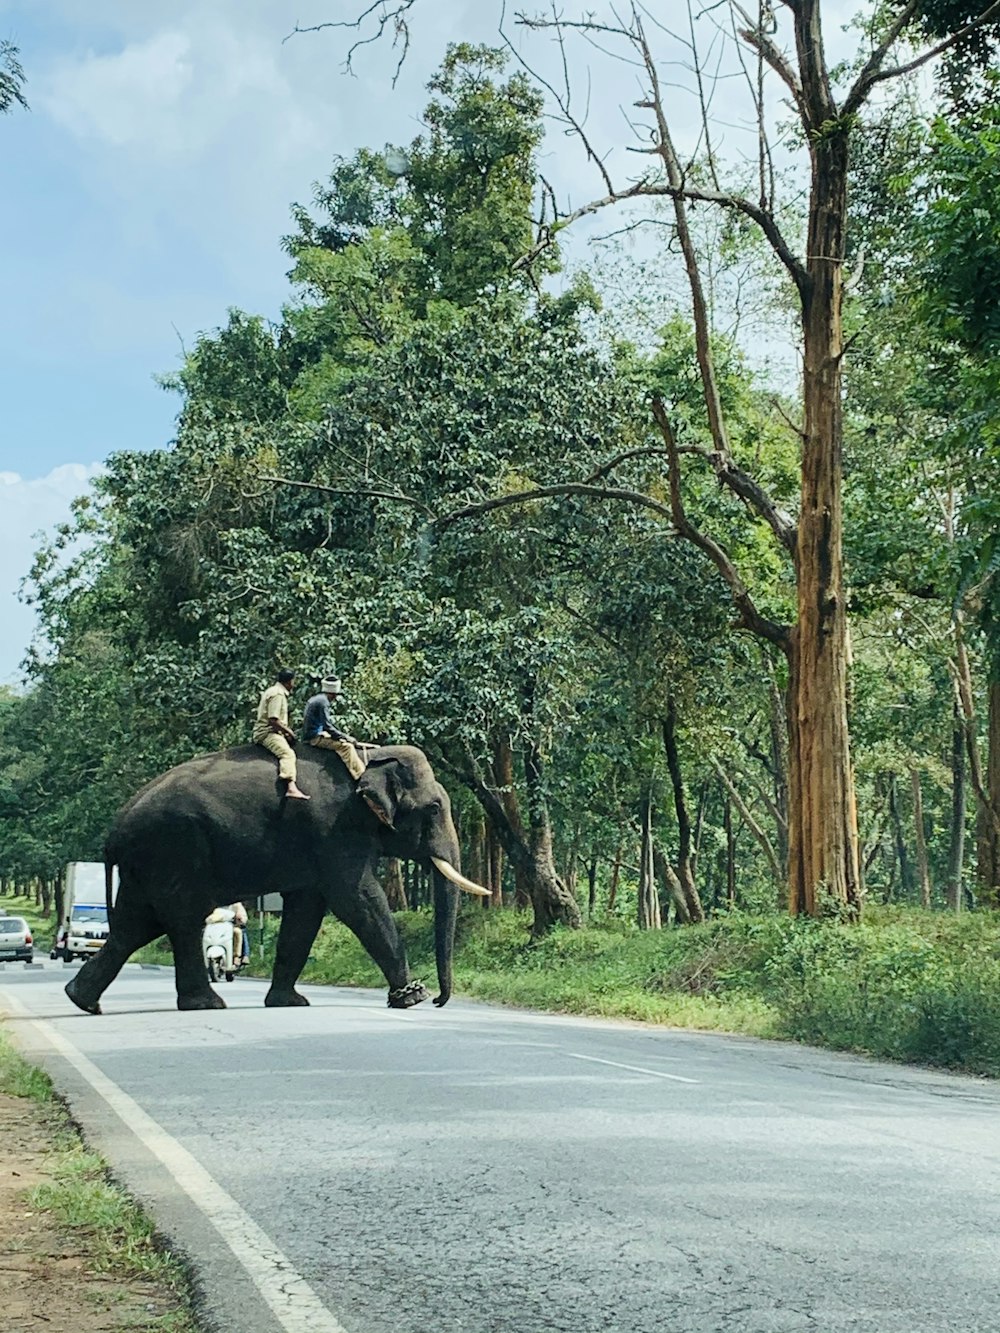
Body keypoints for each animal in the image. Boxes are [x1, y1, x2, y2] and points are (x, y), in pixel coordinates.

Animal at [63, 746, 490, 1013]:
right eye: (433, 808)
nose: (439, 1001)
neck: (366, 756)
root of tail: (115, 829)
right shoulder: (334, 832)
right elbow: (357, 899)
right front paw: (411, 998)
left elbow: (306, 911)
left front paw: (288, 1002)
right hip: (172, 850)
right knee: (181, 921)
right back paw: (206, 1004)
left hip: (148, 864)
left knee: (135, 926)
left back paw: (82, 1000)